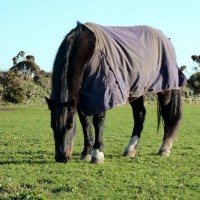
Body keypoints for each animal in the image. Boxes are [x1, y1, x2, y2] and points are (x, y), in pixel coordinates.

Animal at [45, 21, 186, 163]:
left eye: (69, 125)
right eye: (52, 125)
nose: (61, 158)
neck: (88, 51)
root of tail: (166, 39)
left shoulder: (101, 92)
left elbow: (98, 121)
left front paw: (97, 154)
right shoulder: (81, 98)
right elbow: (85, 122)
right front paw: (86, 153)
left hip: (165, 88)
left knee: (167, 114)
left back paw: (164, 148)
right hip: (136, 89)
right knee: (139, 114)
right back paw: (130, 149)